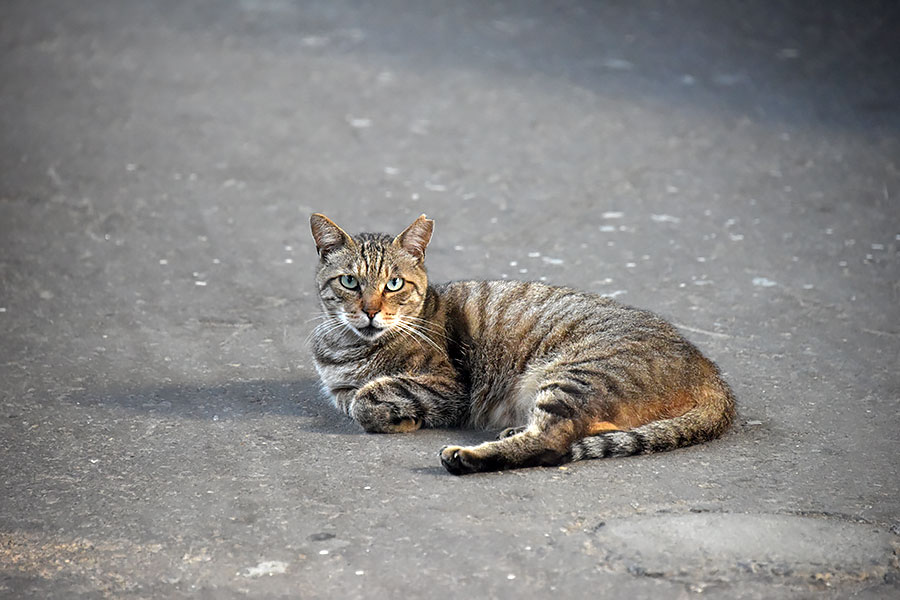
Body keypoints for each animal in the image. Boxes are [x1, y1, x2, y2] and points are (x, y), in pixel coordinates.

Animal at [306, 213, 736, 476]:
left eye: (394, 284)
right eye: (350, 282)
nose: (370, 311)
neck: (347, 347)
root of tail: (711, 372)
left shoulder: (452, 387)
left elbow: (367, 400)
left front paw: (398, 416)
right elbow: (357, 398)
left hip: (575, 373)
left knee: (553, 442)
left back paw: (466, 456)